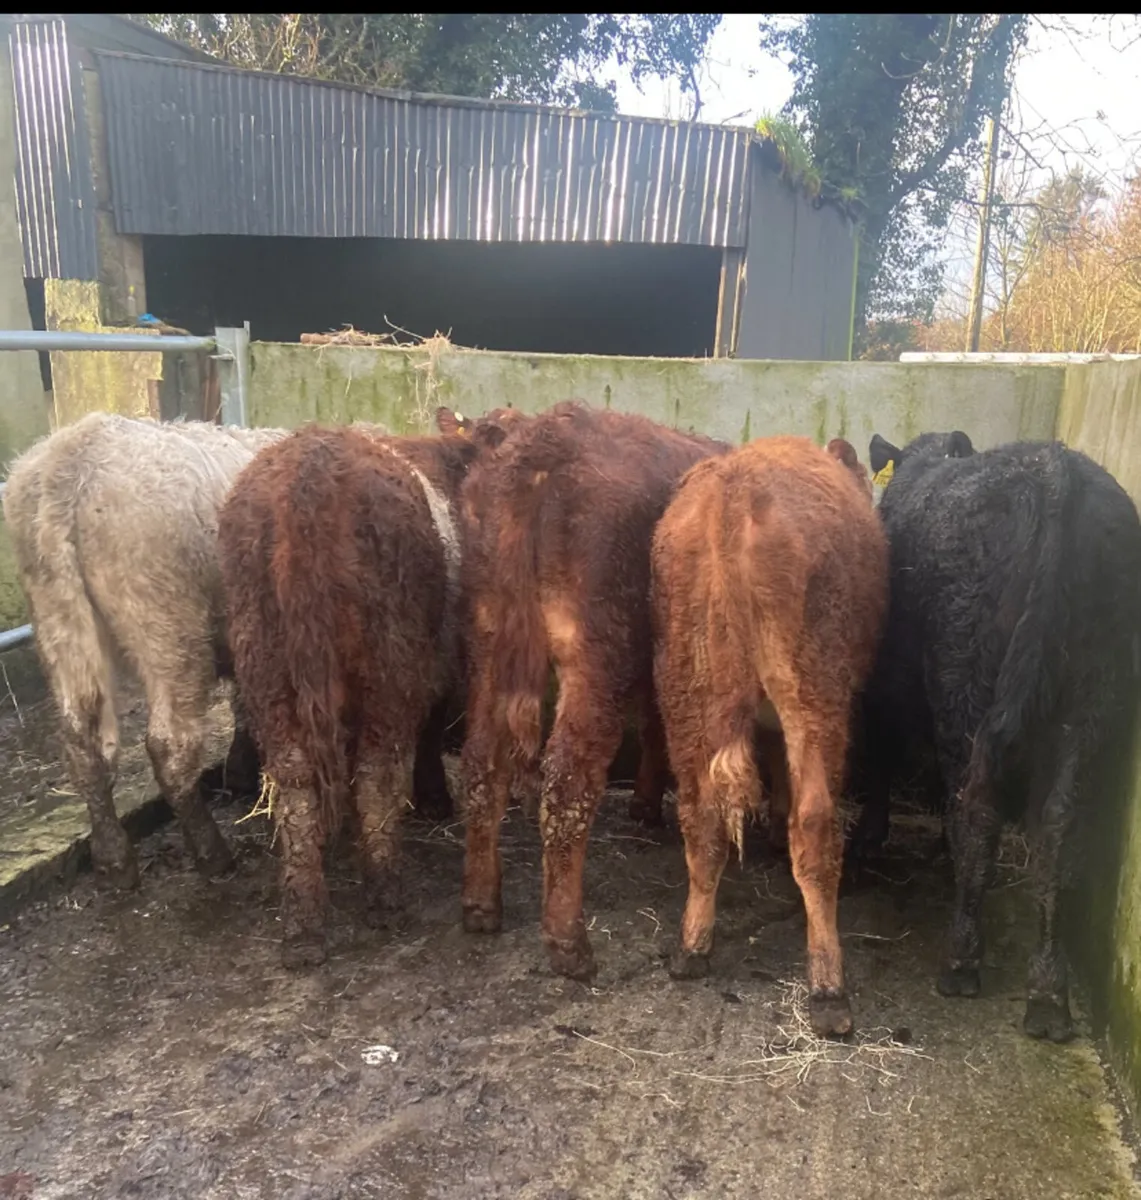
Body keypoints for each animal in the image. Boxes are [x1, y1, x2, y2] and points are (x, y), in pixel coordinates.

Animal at [3, 413, 288, 889]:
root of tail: (70, 459)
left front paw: (240, 770)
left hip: (58, 620)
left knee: (83, 744)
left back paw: (113, 860)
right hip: (168, 625)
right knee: (171, 746)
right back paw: (212, 854)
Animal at [218, 410, 515, 967]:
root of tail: (307, 474)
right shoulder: (437, 657)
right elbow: (427, 731)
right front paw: (433, 797)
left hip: (266, 664)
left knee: (295, 784)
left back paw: (304, 922)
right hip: (387, 661)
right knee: (376, 772)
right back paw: (385, 895)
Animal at [458, 400, 729, 979]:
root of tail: (547, 439)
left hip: (489, 646)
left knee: (481, 762)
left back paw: (481, 902)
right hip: (597, 659)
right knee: (568, 781)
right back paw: (568, 943)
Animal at [651, 435, 887, 1037]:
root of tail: (734, 494)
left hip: (685, 689)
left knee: (701, 817)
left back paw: (692, 947)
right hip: (814, 693)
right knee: (815, 825)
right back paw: (828, 988)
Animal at [864, 430, 1141, 1042]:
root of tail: (1054, 468)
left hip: (966, 683)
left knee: (978, 805)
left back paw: (962, 959)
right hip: (1095, 695)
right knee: (1061, 828)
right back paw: (1048, 994)